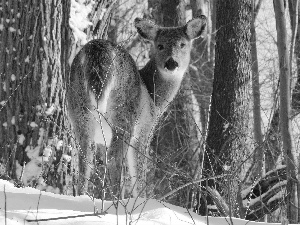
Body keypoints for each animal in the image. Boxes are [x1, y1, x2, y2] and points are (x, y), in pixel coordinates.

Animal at [66, 15, 206, 198]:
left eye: (182, 44)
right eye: (160, 45)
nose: (171, 63)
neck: (154, 99)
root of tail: (97, 50)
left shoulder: (102, 140)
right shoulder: (144, 132)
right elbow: (138, 173)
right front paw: (142, 199)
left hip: (79, 110)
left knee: (84, 158)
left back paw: (81, 196)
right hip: (124, 113)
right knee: (114, 158)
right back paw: (117, 200)